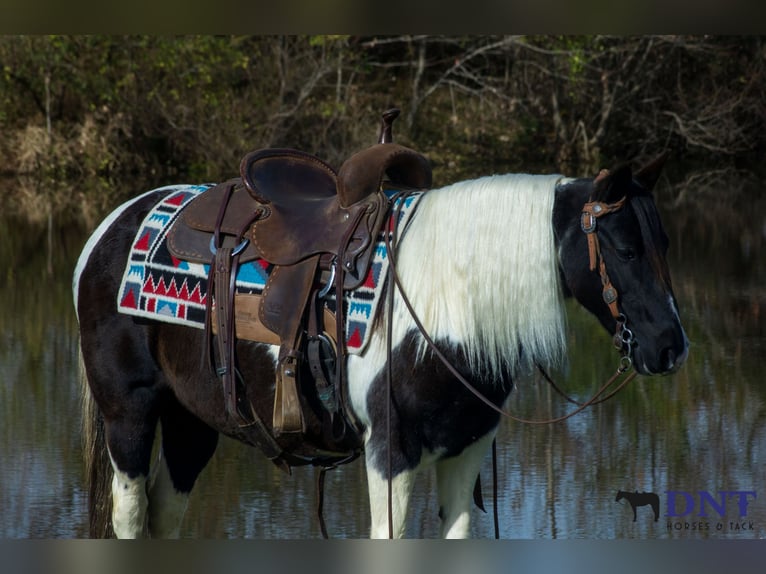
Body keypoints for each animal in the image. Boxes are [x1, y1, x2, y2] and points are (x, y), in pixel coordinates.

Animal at [73, 153, 688, 538]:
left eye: (664, 241)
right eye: (625, 249)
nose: (670, 347)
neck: (448, 301)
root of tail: (111, 226)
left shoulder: (465, 450)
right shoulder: (391, 453)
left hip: (193, 423)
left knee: (164, 515)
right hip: (129, 415)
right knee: (130, 516)